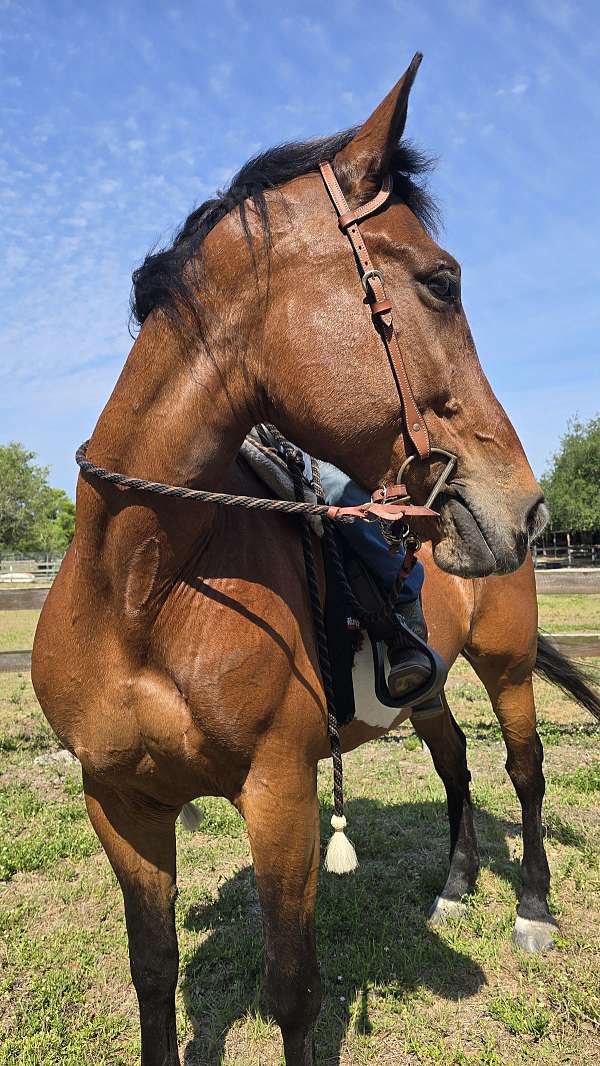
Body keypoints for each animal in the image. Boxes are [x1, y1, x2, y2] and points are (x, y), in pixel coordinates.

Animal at [33, 54, 589, 1066]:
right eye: (441, 281)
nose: (525, 509)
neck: (141, 590)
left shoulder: (280, 796)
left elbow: (293, 989)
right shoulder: (120, 807)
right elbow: (153, 974)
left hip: (506, 666)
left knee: (524, 771)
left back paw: (532, 908)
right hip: (433, 683)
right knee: (455, 763)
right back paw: (456, 886)